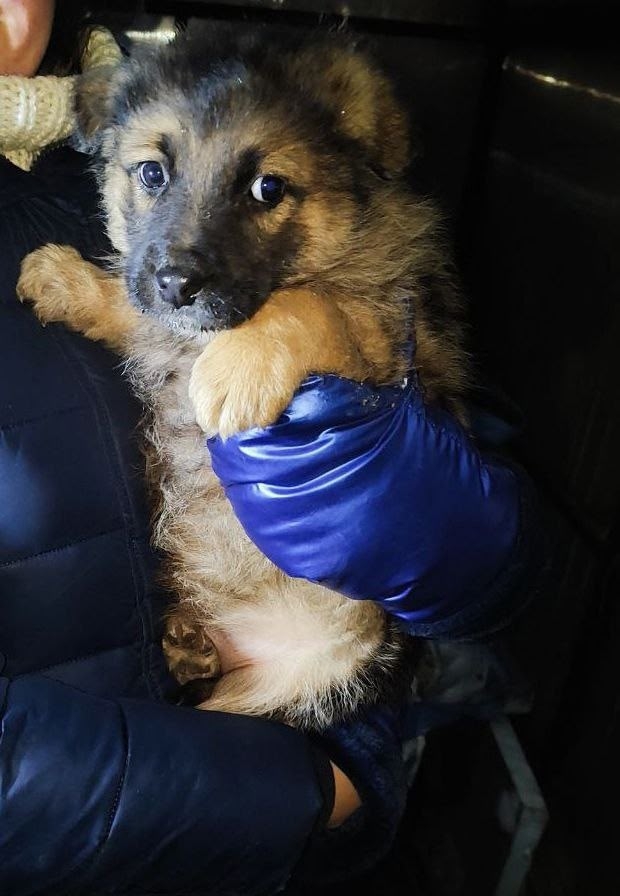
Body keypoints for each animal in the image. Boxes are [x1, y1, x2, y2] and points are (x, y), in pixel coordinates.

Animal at [18, 24, 469, 729]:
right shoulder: (156, 313)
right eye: (152, 173)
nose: (179, 285)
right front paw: (63, 280)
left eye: (268, 189)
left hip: (299, 684)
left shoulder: (390, 340)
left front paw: (237, 370)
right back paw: (187, 641)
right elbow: (129, 301)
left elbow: (314, 304)